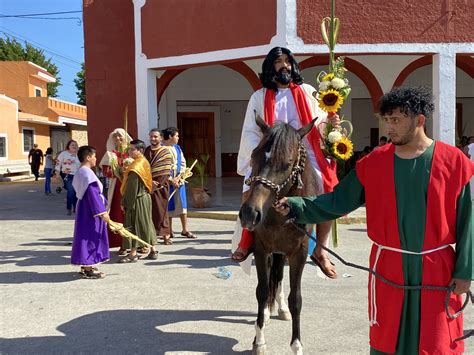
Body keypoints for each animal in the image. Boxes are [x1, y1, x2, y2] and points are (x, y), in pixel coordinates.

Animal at [241, 115, 318, 354]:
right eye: (254, 155)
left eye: (287, 163)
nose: (249, 213)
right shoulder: (261, 249)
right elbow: (262, 291)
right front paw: (259, 341)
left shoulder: (298, 254)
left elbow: (296, 299)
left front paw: (296, 346)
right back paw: (266, 314)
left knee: (280, 277)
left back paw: (281, 309)